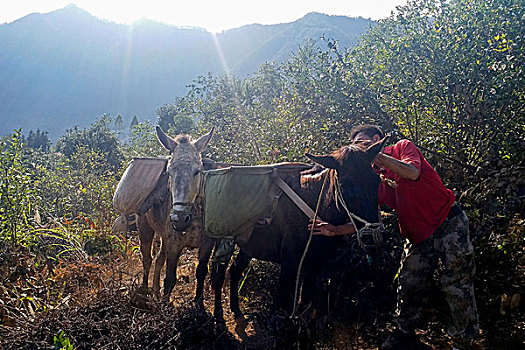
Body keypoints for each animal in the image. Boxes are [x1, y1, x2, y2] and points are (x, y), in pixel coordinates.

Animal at [192, 139, 384, 320]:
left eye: (377, 181)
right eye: (345, 186)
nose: (372, 237)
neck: (316, 205)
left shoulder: (315, 264)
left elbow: (305, 302)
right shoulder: (290, 262)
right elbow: (282, 305)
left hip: (248, 246)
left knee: (234, 270)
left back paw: (235, 309)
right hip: (213, 238)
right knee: (210, 273)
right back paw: (210, 310)